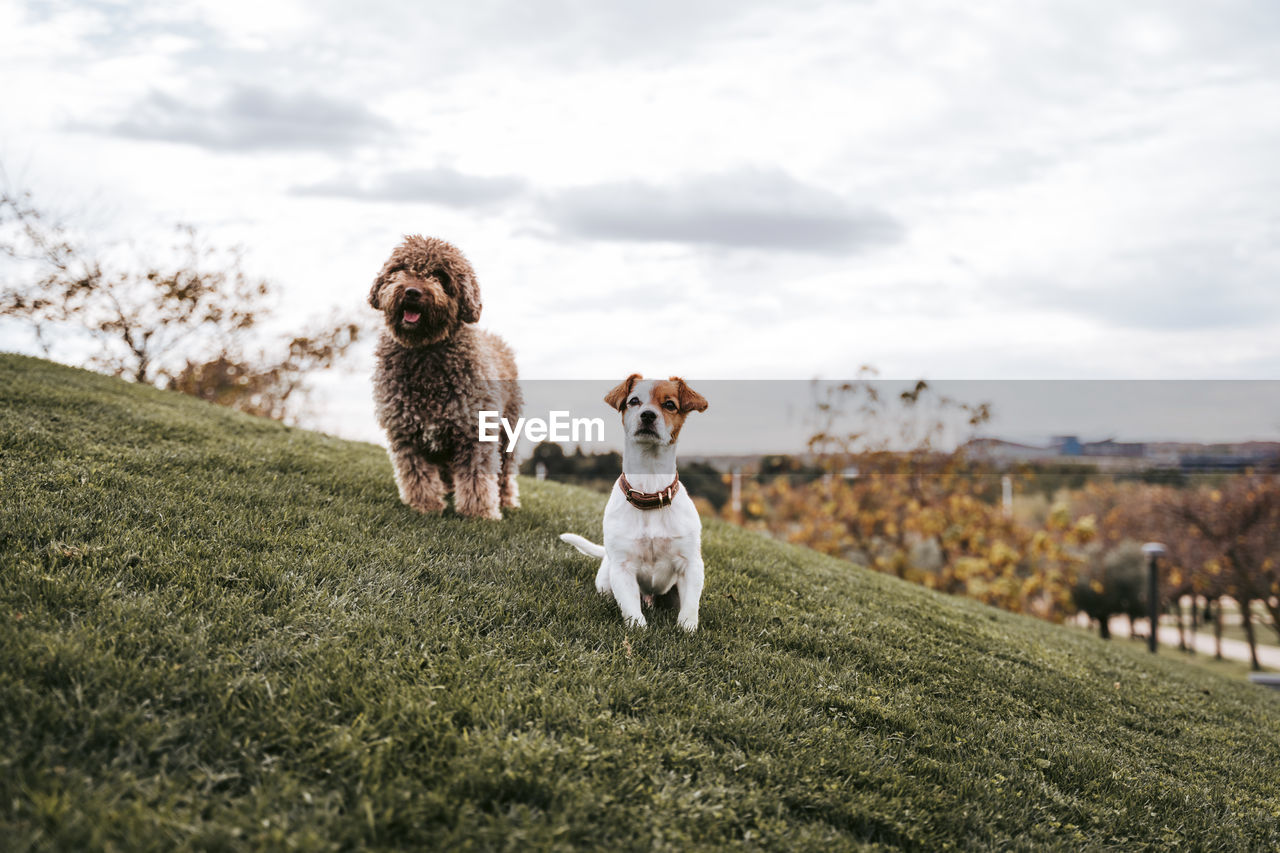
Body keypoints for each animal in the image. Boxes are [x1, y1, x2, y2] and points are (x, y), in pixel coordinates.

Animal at [366, 233, 519, 517]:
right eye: (400, 268)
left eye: (439, 275)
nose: (412, 291)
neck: (425, 351)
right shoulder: (406, 431)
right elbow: (417, 473)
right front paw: (424, 505)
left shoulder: (475, 429)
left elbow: (476, 474)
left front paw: (479, 512)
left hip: (508, 431)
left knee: (504, 472)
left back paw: (505, 500)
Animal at [560, 376, 711, 627]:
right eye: (634, 401)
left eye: (669, 404)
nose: (648, 415)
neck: (649, 490)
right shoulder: (622, 568)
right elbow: (631, 609)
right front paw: (637, 629)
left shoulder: (691, 564)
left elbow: (690, 608)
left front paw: (687, 629)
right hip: (606, 580)